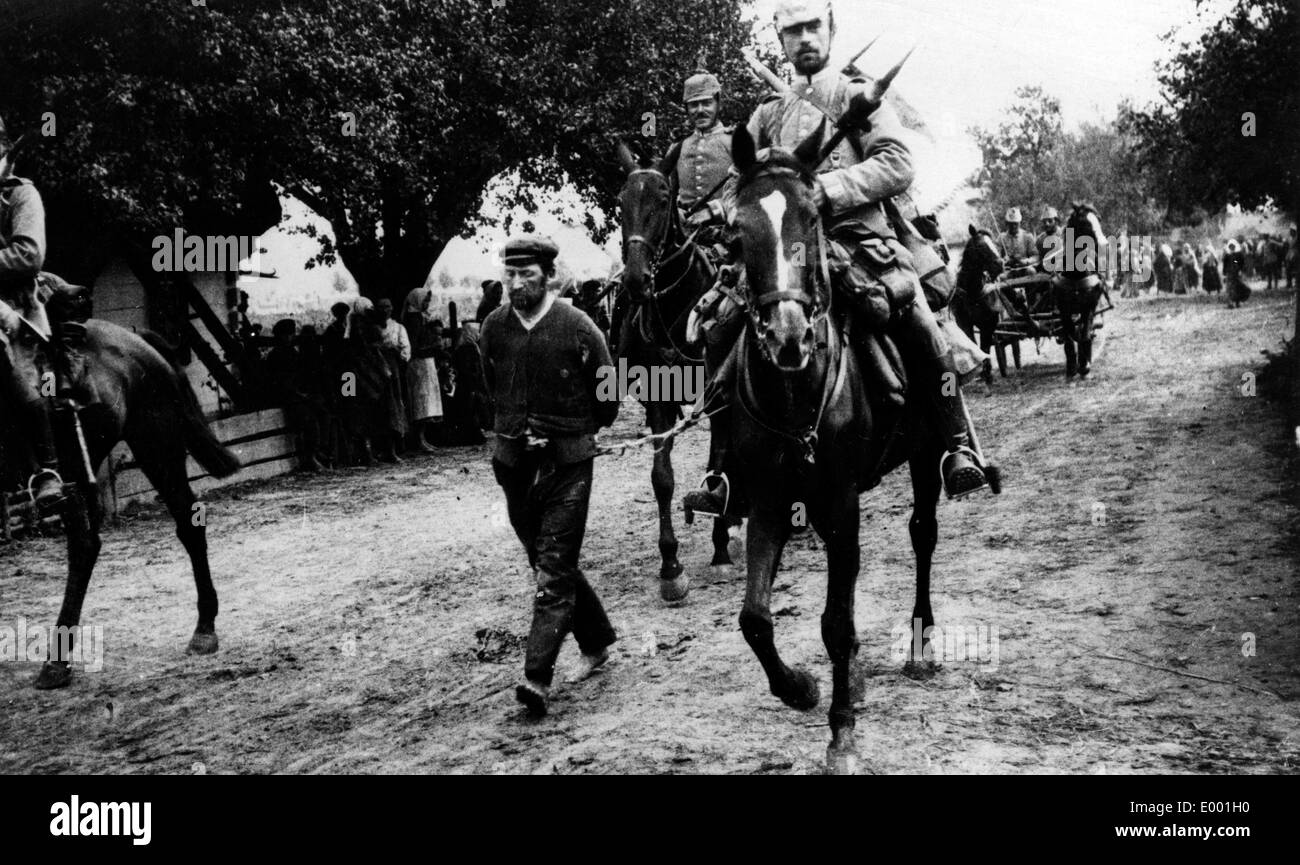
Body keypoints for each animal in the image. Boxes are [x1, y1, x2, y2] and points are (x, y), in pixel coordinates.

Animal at [0, 313, 241, 686]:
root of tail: (134, 339)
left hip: (156, 448)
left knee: (187, 525)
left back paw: (204, 631)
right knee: (85, 546)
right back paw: (57, 661)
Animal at [722, 124, 946, 770]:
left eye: (813, 218)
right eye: (736, 232)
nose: (788, 337)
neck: (796, 395)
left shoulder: (844, 504)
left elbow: (836, 623)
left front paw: (842, 732)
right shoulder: (770, 500)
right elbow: (754, 617)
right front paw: (799, 687)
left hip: (925, 456)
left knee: (923, 534)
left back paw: (920, 642)